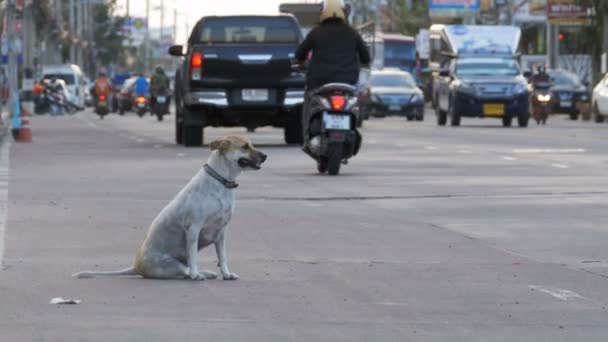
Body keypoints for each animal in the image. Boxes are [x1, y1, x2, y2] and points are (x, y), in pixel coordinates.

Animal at [73, 136, 266, 280]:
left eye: (251, 144)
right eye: (245, 146)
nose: (265, 156)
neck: (220, 181)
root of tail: (136, 266)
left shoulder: (221, 232)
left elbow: (222, 256)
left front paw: (226, 274)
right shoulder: (193, 228)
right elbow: (193, 256)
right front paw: (196, 275)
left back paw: (207, 273)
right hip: (173, 264)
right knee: (185, 271)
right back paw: (199, 274)